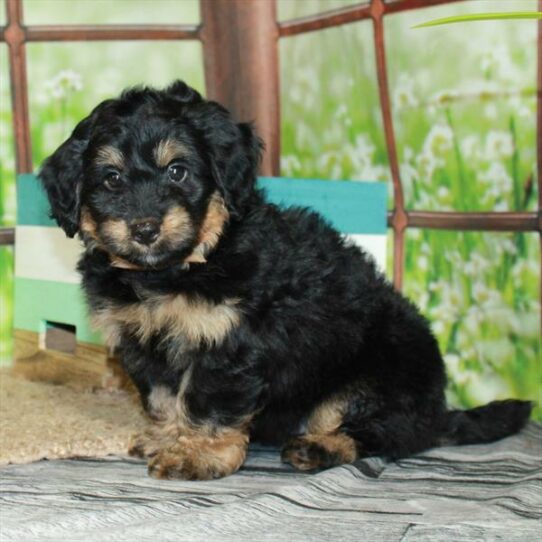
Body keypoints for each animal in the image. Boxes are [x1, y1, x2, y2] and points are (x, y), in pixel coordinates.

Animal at [40, 79, 532, 480]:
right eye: (111, 179)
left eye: (177, 171)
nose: (144, 228)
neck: (179, 269)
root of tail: (438, 410)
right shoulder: (144, 344)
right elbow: (164, 398)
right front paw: (167, 436)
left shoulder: (228, 342)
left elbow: (204, 402)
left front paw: (196, 454)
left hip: (378, 376)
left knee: (386, 432)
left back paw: (322, 447)